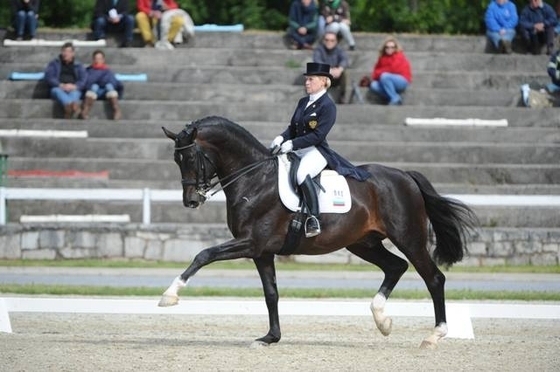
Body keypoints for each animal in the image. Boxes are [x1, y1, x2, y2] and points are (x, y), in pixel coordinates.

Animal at [158, 115, 476, 348]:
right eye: (176, 160)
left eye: (191, 158)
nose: (191, 201)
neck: (254, 178)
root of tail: (405, 176)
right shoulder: (262, 252)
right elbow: (271, 294)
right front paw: (270, 337)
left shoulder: (250, 242)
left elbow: (204, 254)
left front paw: (169, 295)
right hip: (363, 243)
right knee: (396, 266)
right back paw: (382, 321)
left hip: (409, 238)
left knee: (433, 278)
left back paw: (433, 336)